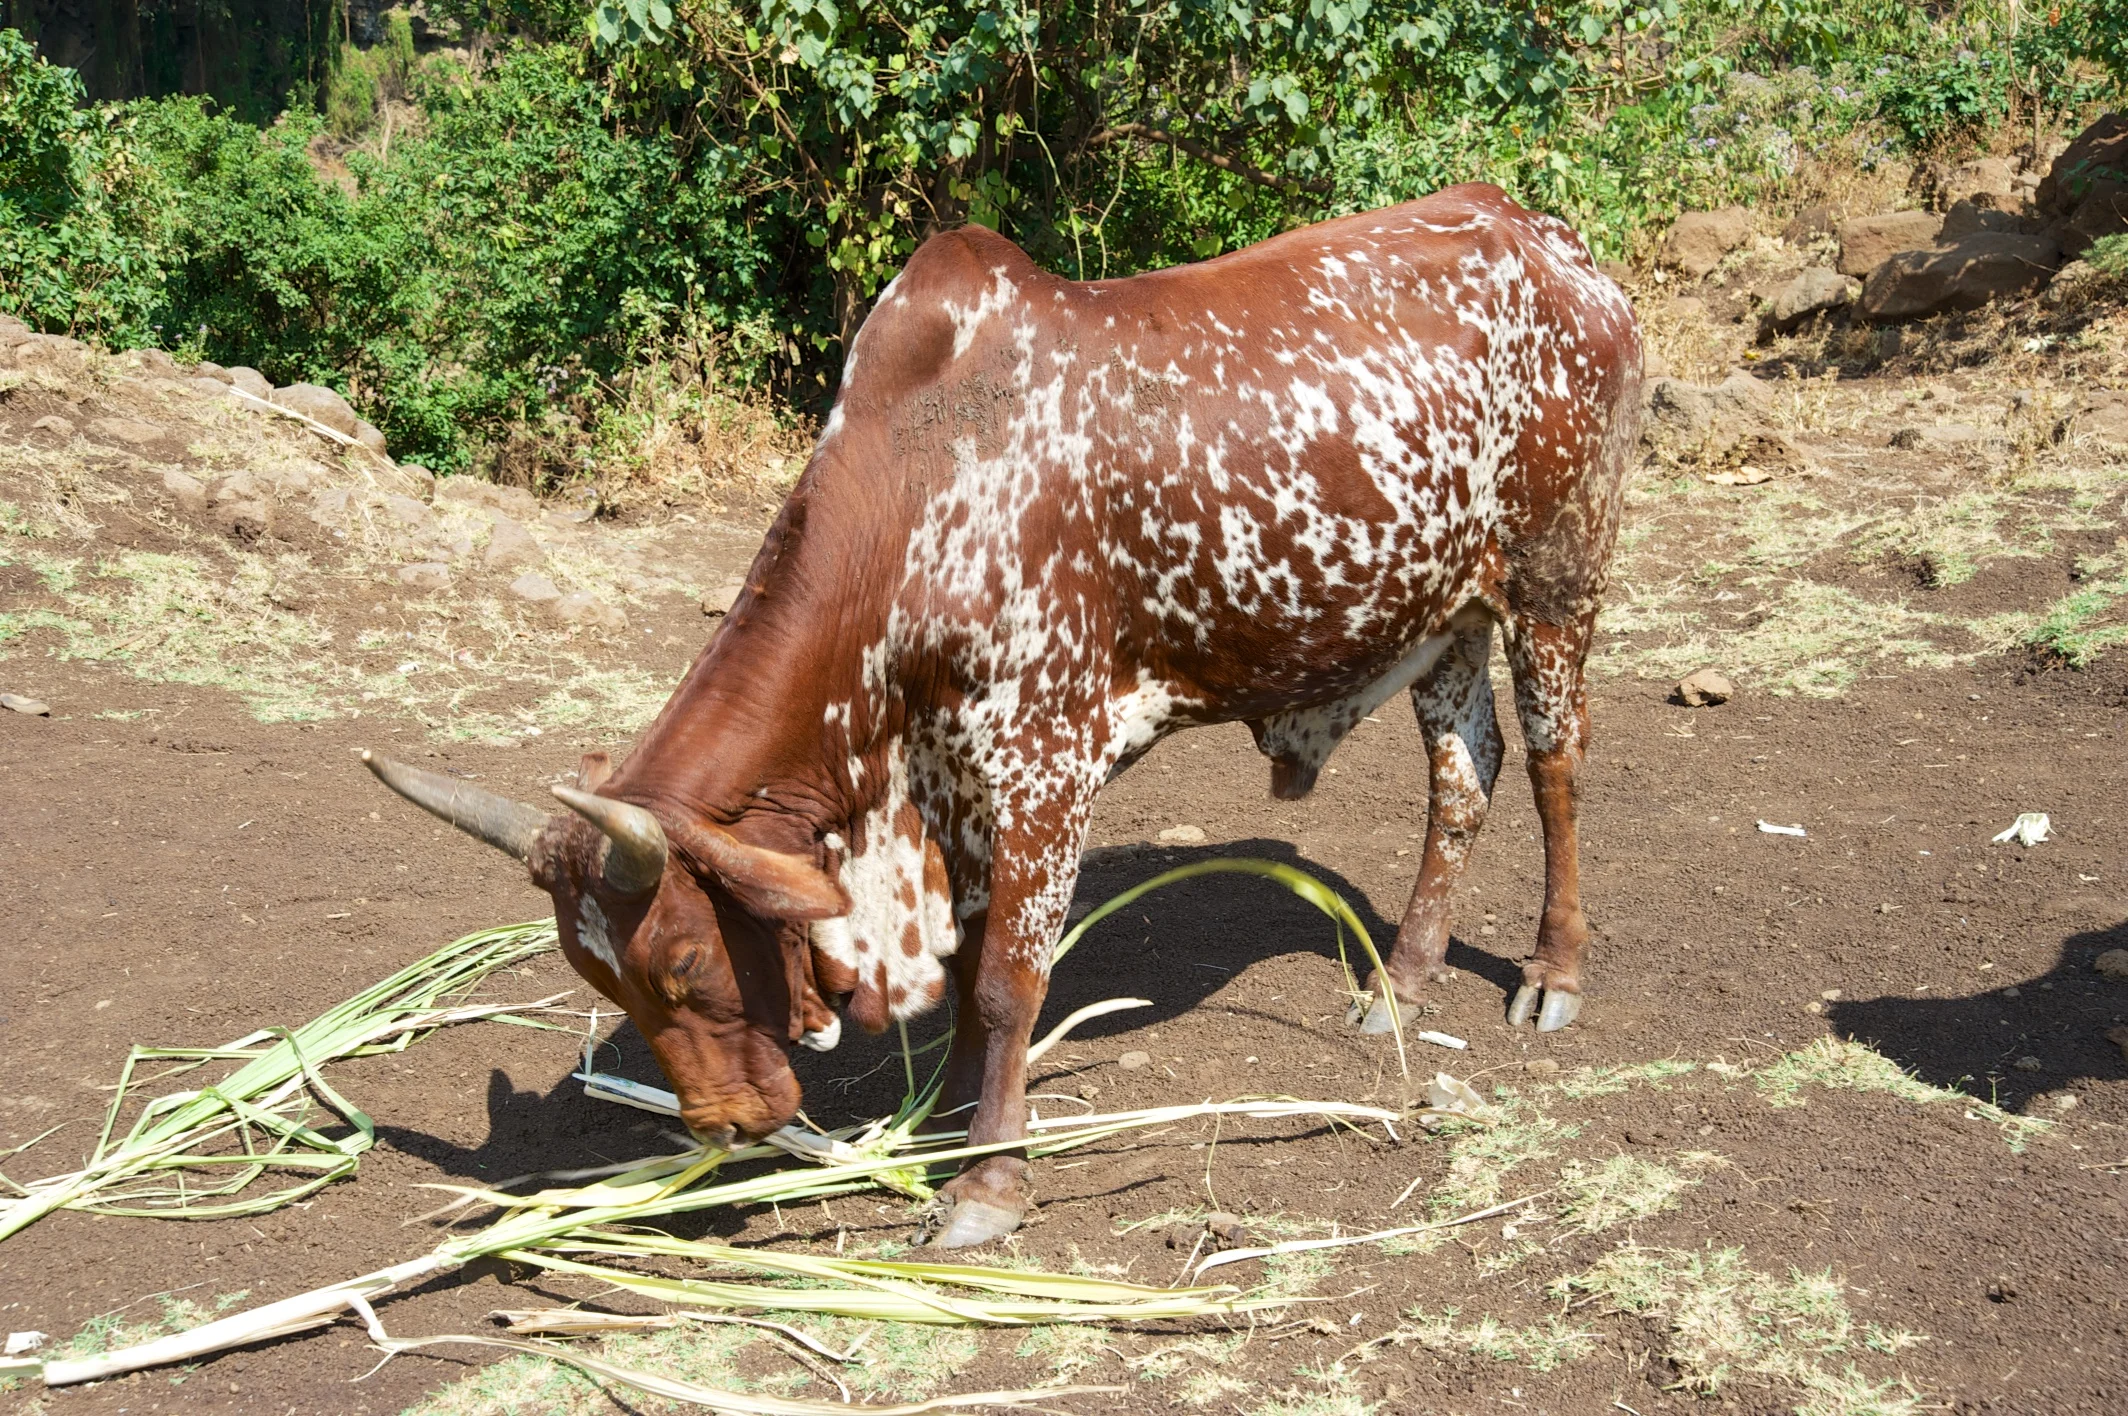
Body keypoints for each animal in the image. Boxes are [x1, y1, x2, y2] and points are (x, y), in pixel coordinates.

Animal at [366, 179, 1634, 1252]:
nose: (723, 1124)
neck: (915, 501)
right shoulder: (951, 781)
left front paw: (988, 1182)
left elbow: (1009, 981)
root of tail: (1549, 239)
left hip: (1555, 579)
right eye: (601, 982)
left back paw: (1553, 972)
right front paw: (943, 1123)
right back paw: (1401, 981)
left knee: (1556, 767)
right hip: (1445, 616)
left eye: (683, 961)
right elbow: (975, 960)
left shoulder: (1043, 765)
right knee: (1463, 773)